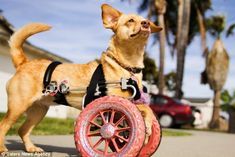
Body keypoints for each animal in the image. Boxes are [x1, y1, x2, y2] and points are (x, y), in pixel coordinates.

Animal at [0, 3, 162, 153]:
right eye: (130, 20)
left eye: (146, 20)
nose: (146, 23)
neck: (127, 66)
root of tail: (23, 63)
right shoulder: (119, 99)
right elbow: (145, 108)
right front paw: (146, 127)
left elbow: (146, 110)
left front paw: (145, 131)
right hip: (18, 107)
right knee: (3, 126)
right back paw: (2, 148)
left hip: (38, 111)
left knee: (23, 130)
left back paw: (31, 148)